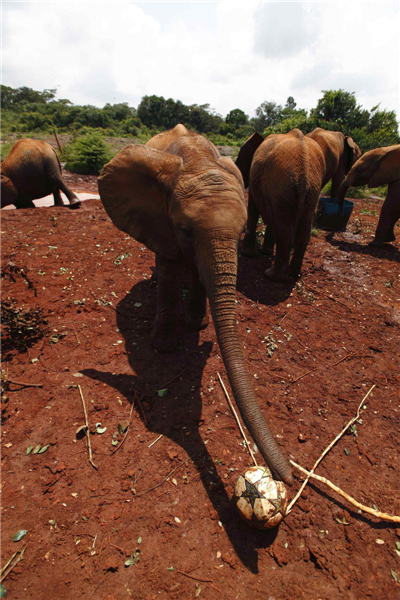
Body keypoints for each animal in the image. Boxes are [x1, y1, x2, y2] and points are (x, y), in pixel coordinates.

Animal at [98, 124, 292, 486]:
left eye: (242, 231)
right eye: (187, 230)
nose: (288, 477)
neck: (198, 161)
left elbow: (201, 271)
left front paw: (196, 325)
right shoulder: (163, 218)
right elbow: (170, 264)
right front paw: (164, 345)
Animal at [238, 129, 324, 282]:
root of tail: (304, 177)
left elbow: (253, 208)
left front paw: (249, 253)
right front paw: (264, 252)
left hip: (282, 187)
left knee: (283, 230)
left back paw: (271, 275)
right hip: (310, 192)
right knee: (301, 231)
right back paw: (293, 274)